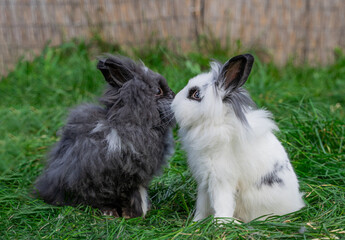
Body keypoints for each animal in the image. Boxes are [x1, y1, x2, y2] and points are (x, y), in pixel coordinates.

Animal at [33, 54, 175, 218]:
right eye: (158, 90)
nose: (174, 94)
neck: (132, 120)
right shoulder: (133, 176)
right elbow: (137, 195)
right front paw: (138, 213)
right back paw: (112, 213)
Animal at [171, 54, 302, 223]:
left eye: (196, 95)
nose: (173, 104)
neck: (216, 122)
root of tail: (296, 204)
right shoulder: (204, 181)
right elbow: (202, 205)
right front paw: (196, 222)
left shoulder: (221, 178)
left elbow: (222, 203)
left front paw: (220, 223)